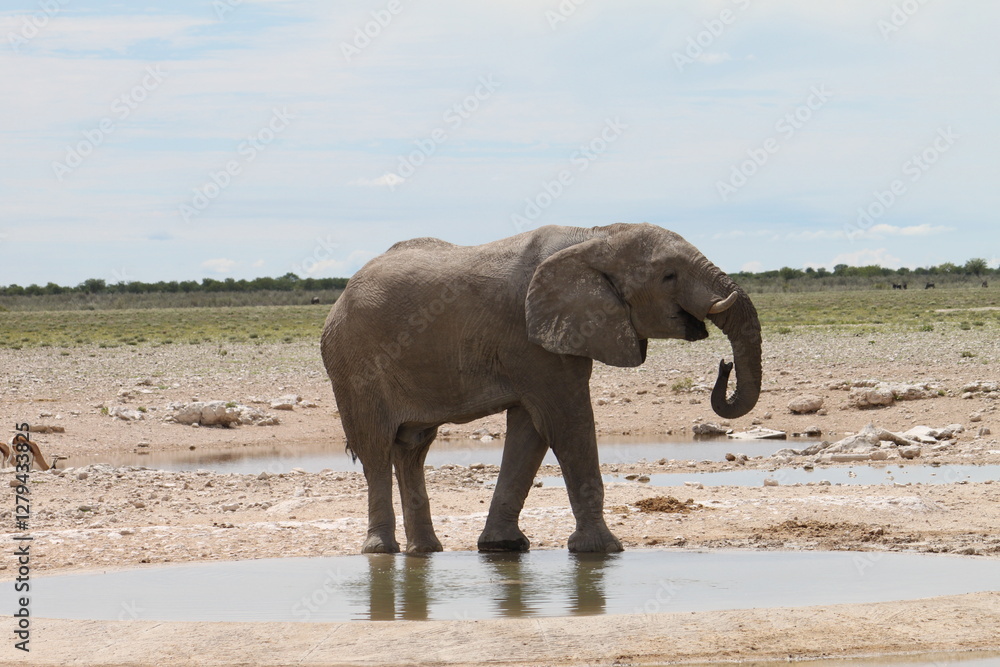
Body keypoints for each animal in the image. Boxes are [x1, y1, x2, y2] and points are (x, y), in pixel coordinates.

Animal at [321, 223, 762, 554]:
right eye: (668, 276)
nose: (724, 365)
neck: (594, 237)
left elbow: (530, 432)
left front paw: (503, 548)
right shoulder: (531, 339)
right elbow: (565, 422)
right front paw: (603, 550)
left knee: (412, 448)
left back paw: (425, 551)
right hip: (354, 364)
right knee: (376, 449)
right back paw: (381, 551)